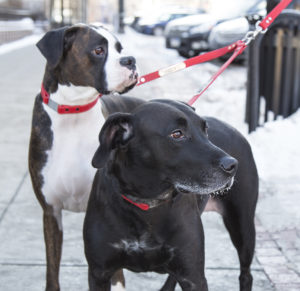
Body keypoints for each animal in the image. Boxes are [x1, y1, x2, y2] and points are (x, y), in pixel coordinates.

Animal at [28, 24, 138, 290]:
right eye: (98, 50)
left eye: (120, 48)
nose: (130, 60)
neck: (73, 110)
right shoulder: (51, 212)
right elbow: (52, 270)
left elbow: (116, 273)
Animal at [84, 99, 258, 290]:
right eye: (177, 134)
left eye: (205, 129)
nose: (232, 165)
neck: (147, 203)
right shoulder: (99, 273)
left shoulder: (193, 277)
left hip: (243, 227)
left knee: (246, 274)